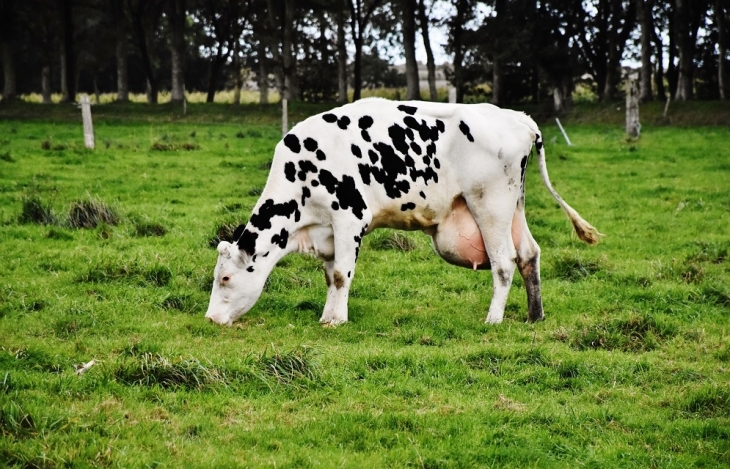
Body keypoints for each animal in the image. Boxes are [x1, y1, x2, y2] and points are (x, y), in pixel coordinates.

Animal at [203, 98, 596, 326]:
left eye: (225, 278)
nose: (210, 318)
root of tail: (518, 118)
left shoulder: (349, 218)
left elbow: (342, 275)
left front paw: (336, 321)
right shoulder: (328, 231)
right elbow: (331, 276)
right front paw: (328, 315)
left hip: (490, 203)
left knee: (504, 262)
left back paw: (493, 319)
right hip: (515, 204)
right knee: (530, 253)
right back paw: (534, 316)